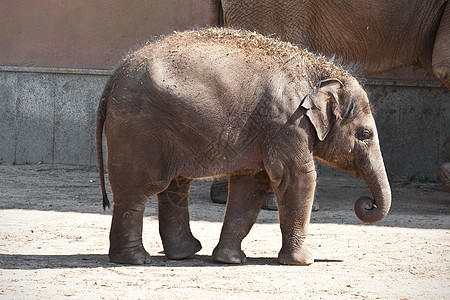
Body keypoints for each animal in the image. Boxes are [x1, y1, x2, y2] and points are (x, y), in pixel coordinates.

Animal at [95, 28, 390, 266]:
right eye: (365, 134)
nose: (368, 203)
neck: (318, 70)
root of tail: (113, 79)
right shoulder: (286, 124)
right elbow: (297, 176)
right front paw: (303, 262)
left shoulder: (264, 131)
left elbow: (250, 185)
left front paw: (230, 260)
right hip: (140, 130)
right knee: (138, 190)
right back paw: (137, 259)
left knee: (175, 186)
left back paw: (184, 253)